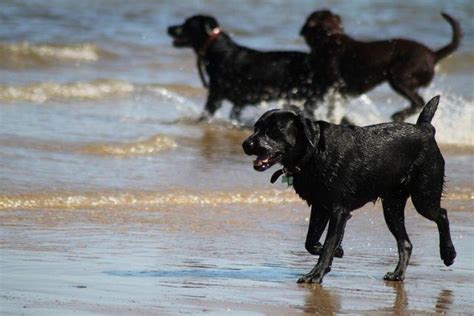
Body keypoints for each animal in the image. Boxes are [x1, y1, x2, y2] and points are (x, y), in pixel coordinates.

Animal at [167, 15, 326, 123]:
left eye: (187, 24)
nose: (169, 28)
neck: (218, 50)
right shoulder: (238, 104)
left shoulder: (215, 96)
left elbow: (205, 115)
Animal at [243, 95, 458, 282]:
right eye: (256, 127)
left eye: (274, 130)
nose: (246, 144)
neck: (314, 152)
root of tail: (425, 129)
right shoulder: (320, 207)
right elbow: (311, 242)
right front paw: (337, 252)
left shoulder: (338, 211)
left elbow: (328, 244)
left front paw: (315, 275)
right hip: (392, 207)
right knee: (406, 243)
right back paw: (398, 274)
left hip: (424, 196)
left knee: (442, 214)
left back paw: (448, 253)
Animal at [300, 10, 460, 121]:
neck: (330, 38)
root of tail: (433, 55)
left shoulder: (335, 89)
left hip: (399, 78)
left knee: (418, 102)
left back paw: (398, 115)